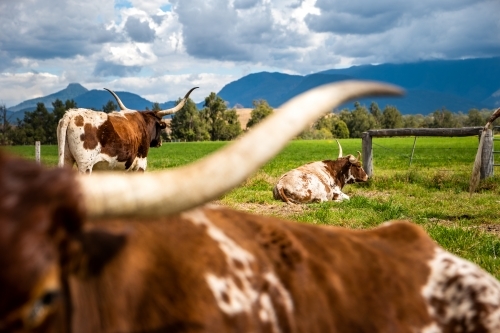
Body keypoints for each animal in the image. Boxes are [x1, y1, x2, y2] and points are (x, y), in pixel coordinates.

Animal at [57, 85, 198, 174]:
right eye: (160, 127)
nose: (160, 143)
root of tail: (72, 114)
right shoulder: (140, 164)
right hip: (85, 164)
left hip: (67, 160)